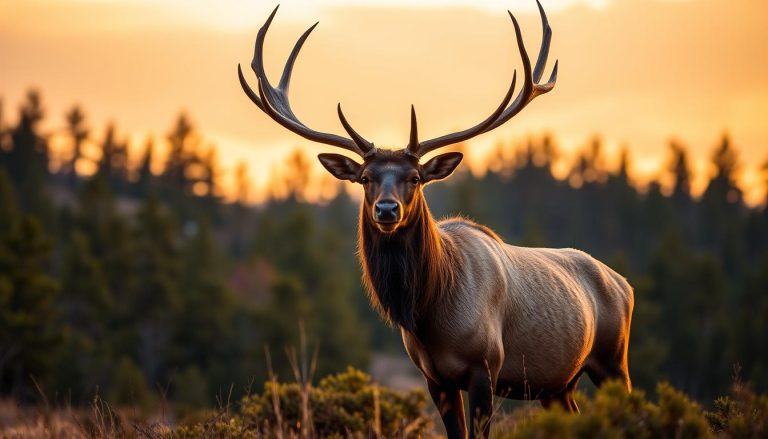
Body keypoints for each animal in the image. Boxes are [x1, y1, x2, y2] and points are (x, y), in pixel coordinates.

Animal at [238, 3, 633, 438]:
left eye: (415, 177)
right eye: (365, 178)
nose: (387, 210)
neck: (430, 313)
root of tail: (623, 283)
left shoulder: (485, 366)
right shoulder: (435, 378)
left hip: (613, 359)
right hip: (558, 384)